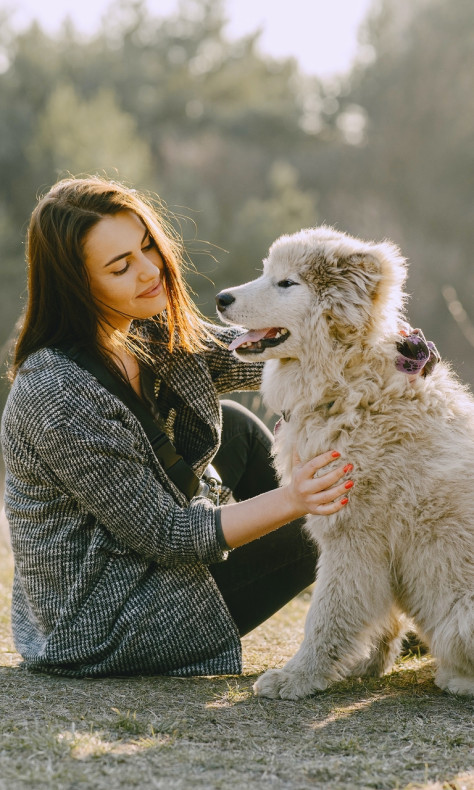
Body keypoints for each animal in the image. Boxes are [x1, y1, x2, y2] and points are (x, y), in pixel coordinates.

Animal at [218, 224, 474, 700]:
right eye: (266, 272)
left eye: (287, 283)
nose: (221, 298)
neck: (349, 382)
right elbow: (376, 616)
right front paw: (367, 664)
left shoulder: (353, 535)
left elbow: (327, 614)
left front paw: (298, 677)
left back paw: (455, 676)